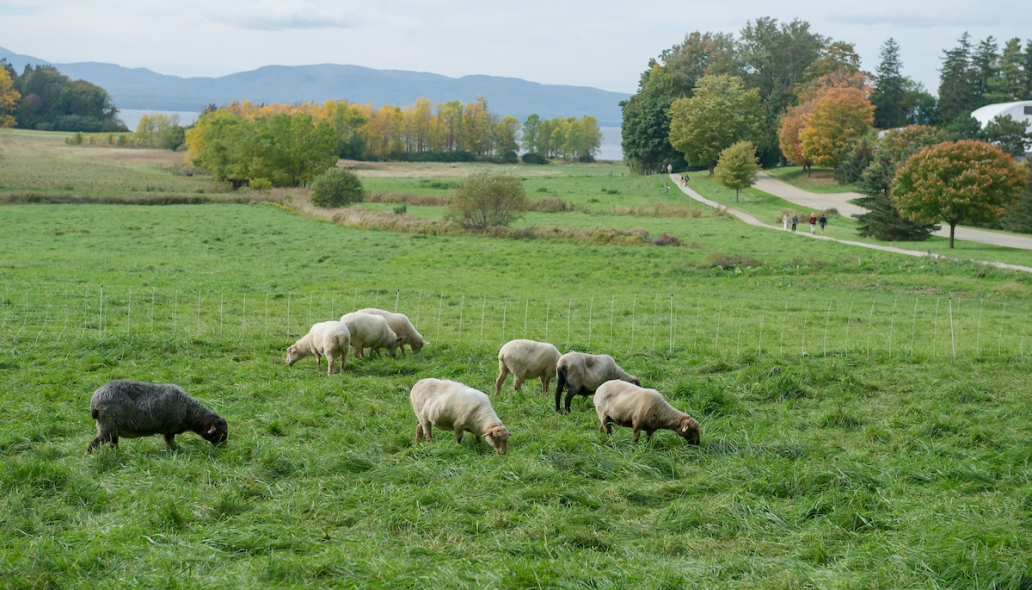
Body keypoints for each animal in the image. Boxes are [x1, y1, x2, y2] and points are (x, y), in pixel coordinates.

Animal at [87, 380, 228, 453]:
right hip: (108, 426)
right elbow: (170, 443)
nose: (223, 447)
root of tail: (95, 400)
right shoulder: (169, 429)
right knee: (92, 445)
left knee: (113, 444)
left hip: (112, 429)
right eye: (220, 433)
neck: (189, 412)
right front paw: (174, 452)